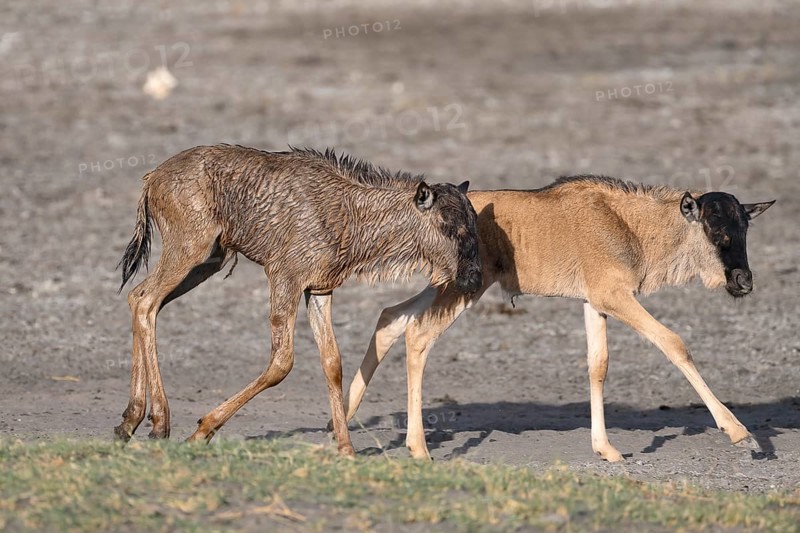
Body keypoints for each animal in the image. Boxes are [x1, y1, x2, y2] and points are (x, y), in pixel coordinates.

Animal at [114, 144, 482, 455]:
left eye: (474, 225)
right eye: (448, 226)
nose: (473, 278)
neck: (351, 216)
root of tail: (152, 178)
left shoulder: (318, 289)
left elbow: (332, 362)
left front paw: (346, 449)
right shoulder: (284, 277)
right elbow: (282, 362)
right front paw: (202, 429)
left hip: (208, 260)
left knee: (138, 297)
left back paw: (132, 420)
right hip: (190, 247)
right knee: (146, 301)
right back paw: (158, 423)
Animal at [339, 176, 774, 461]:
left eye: (744, 230)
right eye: (715, 233)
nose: (744, 281)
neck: (628, 224)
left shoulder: (595, 303)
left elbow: (598, 365)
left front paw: (605, 448)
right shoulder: (615, 296)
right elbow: (674, 343)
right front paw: (741, 434)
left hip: (447, 285)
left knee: (391, 317)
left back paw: (344, 417)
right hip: (463, 288)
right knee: (417, 334)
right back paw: (417, 448)